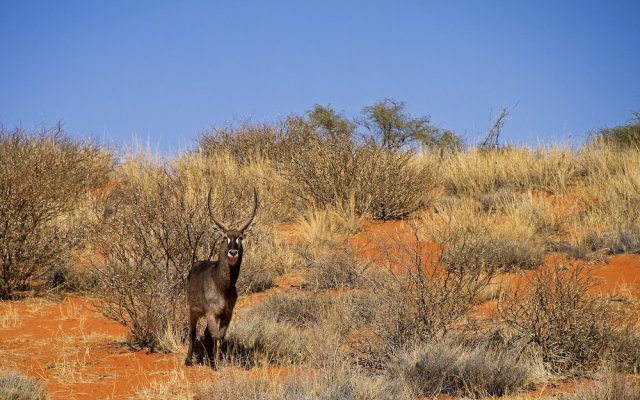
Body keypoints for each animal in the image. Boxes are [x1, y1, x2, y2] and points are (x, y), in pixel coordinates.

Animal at [182, 189, 258, 368]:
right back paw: (188, 360)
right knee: (193, 332)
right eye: (224, 237)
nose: (233, 251)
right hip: (192, 310)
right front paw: (216, 365)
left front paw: (217, 361)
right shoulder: (211, 313)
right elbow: (215, 336)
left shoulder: (227, 314)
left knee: (206, 334)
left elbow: (220, 337)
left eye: (240, 237)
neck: (222, 286)